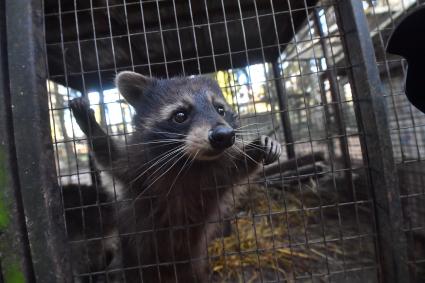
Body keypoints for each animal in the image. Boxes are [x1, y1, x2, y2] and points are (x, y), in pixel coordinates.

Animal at [68, 71, 282, 283]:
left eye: (220, 109)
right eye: (180, 115)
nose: (225, 135)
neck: (190, 162)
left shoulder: (217, 176)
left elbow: (238, 168)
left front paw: (258, 147)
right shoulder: (137, 168)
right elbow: (109, 156)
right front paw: (90, 125)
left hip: (193, 268)